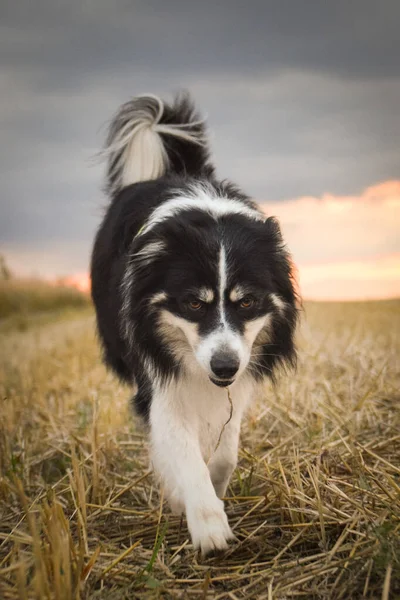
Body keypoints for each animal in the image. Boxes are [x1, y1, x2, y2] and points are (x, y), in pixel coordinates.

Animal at [90, 91, 296, 556]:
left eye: (247, 301)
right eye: (194, 304)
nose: (224, 366)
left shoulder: (240, 375)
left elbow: (225, 451)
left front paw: (215, 492)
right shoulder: (157, 377)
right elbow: (182, 450)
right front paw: (206, 523)